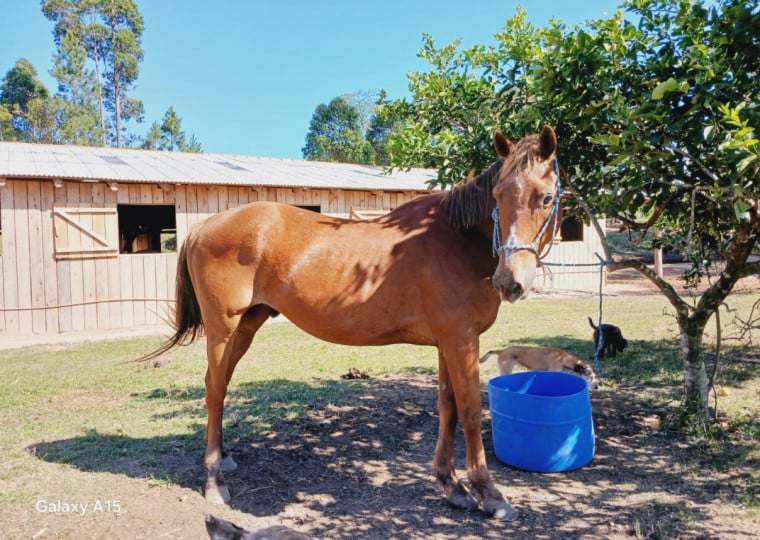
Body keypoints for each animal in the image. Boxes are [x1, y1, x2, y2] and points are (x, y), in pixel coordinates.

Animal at [142, 124, 560, 520]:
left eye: (546, 197)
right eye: (498, 196)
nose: (510, 280)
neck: (458, 239)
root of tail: (204, 225)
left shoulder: (449, 341)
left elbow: (449, 407)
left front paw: (451, 485)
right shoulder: (461, 340)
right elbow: (472, 411)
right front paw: (490, 495)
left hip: (245, 326)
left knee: (221, 384)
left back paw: (224, 456)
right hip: (222, 327)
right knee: (214, 390)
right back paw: (215, 480)